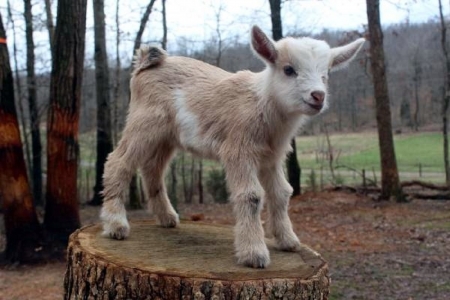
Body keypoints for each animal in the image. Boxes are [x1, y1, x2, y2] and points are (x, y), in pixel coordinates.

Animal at [100, 25, 364, 268]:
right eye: (289, 70)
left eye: (326, 73)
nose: (318, 96)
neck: (262, 102)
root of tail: (146, 61)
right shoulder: (238, 149)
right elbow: (251, 196)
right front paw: (254, 253)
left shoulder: (272, 157)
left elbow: (281, 192)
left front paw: (288, 241)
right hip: (144, 123)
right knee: (118, 162)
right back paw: (116, 225)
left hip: (167, 137)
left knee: (152, 169)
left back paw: (167, 217)